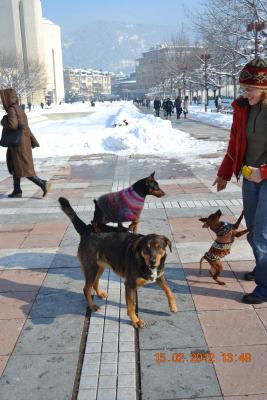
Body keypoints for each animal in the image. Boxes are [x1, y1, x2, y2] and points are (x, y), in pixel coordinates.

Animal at [58, 196, 178, 328]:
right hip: (91, 268)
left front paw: (173, 306)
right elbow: (131, 305)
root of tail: (86, 229)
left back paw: (99, 294)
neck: (143, 262)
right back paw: (93, 306)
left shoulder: (160, 276)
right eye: (146, 249)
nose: (152, 262)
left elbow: (169, 290)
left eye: (159, 247)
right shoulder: (130, 285)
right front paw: (135, 320)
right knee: (86, 289)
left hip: (100, 267)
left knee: (94, 283)